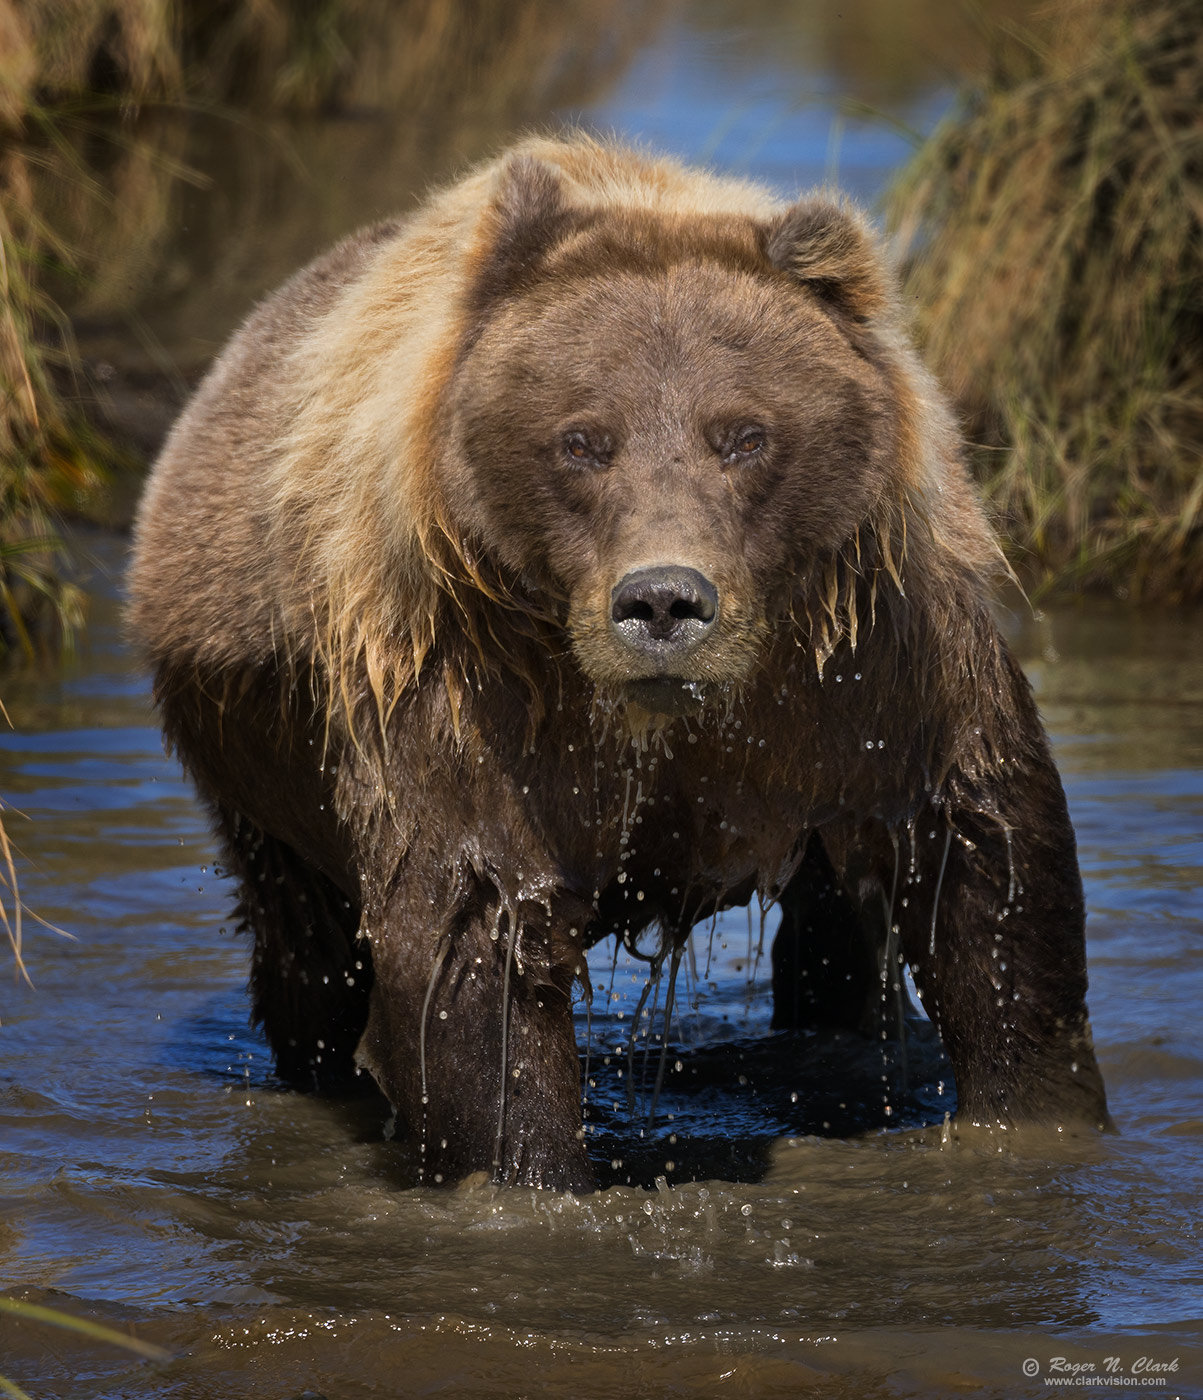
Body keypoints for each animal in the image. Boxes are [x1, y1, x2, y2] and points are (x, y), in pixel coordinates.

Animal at [129, 131, 1109, 1187]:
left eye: (744, 435)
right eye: (582, 440)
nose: (662, 601)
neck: (668, 713)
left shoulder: (872, 662)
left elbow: (986, 878)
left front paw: (1034, 1110)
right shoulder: (464, 683)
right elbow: (472, 940)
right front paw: (527, 1167)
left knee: (842, 932)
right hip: (263, 768)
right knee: (306, 953)